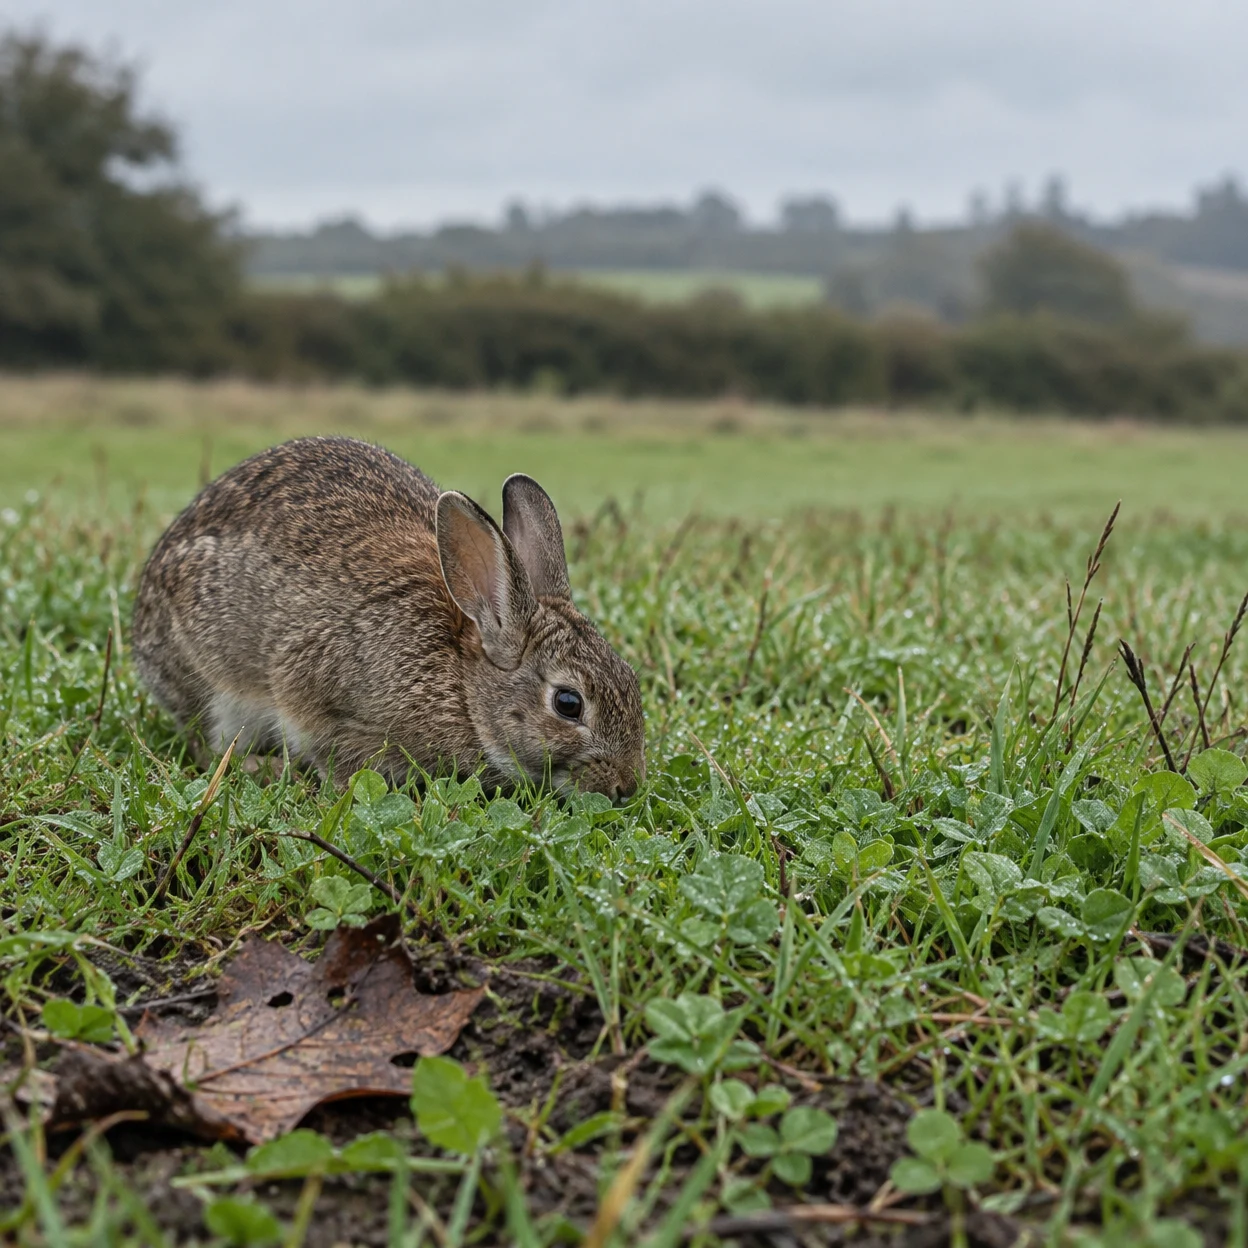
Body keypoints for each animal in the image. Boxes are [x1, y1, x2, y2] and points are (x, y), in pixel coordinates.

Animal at [131, 436, 645, 800]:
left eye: (631, 678)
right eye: (568, 704)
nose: (627, 786)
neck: (462, 687)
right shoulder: (322, 695)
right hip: (213, 685)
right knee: (207, 744)